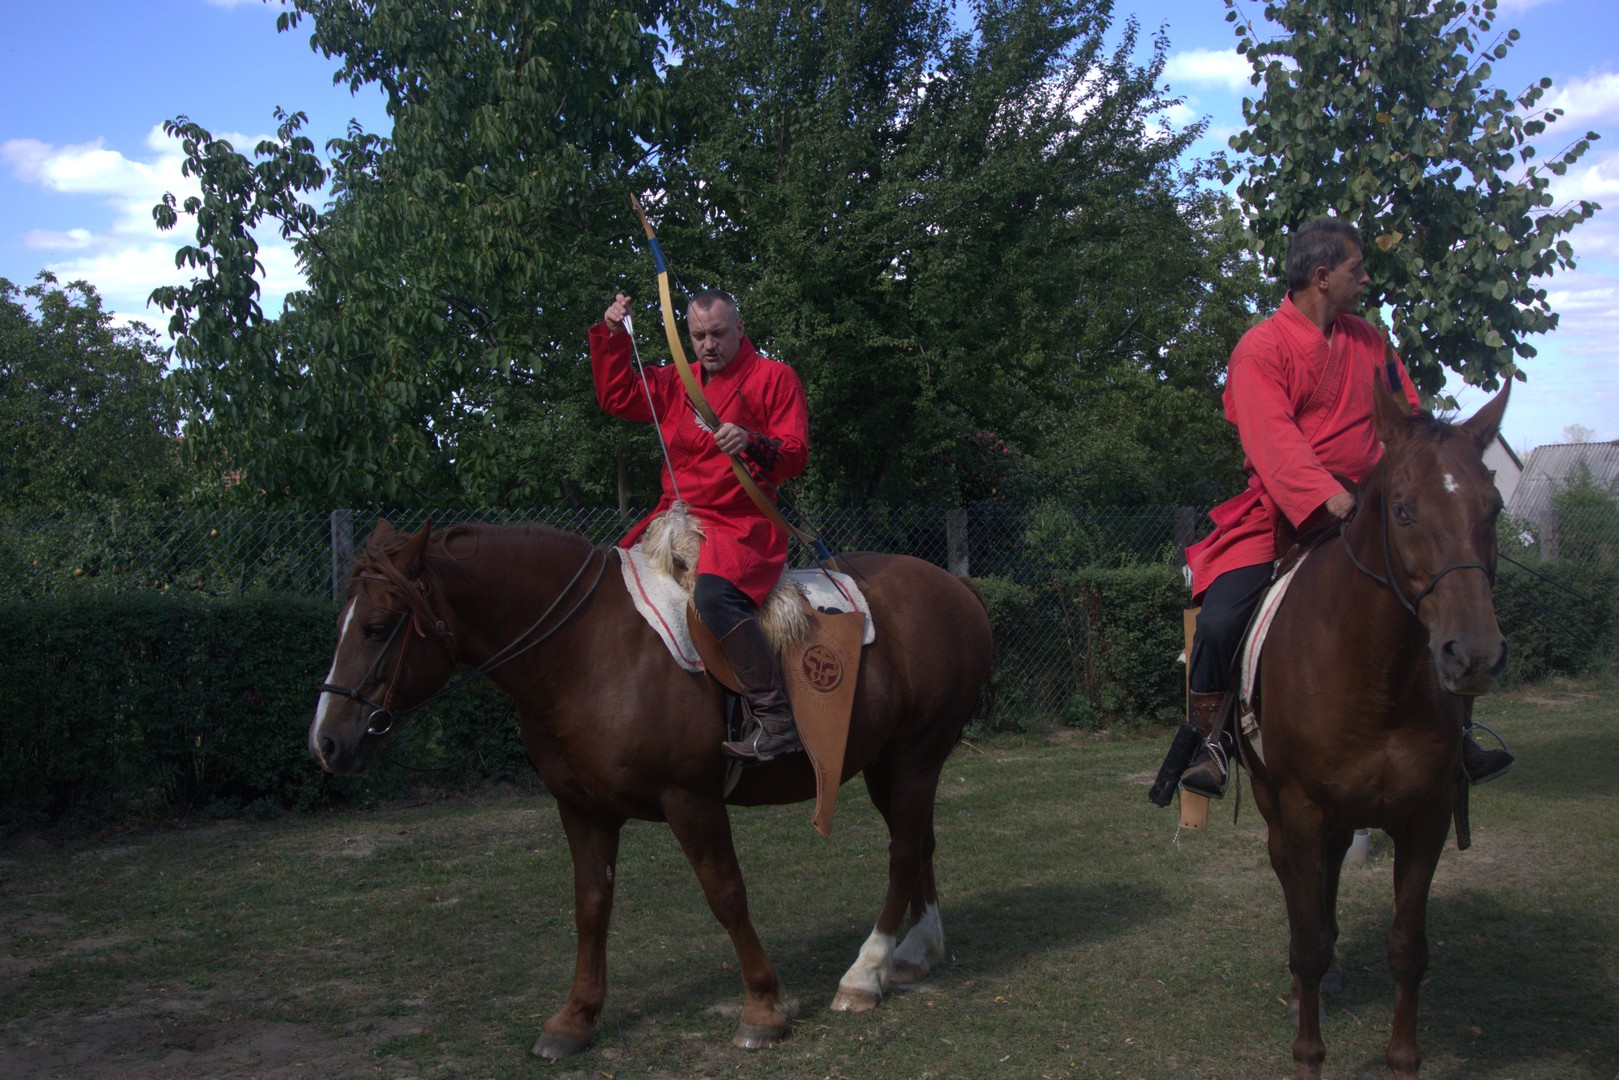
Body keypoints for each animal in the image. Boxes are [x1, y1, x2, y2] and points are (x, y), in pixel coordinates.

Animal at [307, 520, 993, 1058]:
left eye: (376, 627)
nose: (327, 742)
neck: (588, 648)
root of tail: (954, 586)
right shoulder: (581, 809)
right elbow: (591, 907)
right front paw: (575, 1019)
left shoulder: (691, 800)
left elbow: (726, 895)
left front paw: (762, 1008)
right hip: (889, 766)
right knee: (919, 843)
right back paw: (915, 952)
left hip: (915, 758)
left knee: (903, 853)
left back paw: (865, 972)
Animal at [1242, 375, 1511, 1079]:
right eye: (1403, 510)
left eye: (1495, 507)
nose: (1473, 654)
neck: (1376, 676)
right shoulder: (1302, 808)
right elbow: (1307, 941)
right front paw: (1308, 1054)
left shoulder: (1426, 817)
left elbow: (1407, 948)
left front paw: (1404, 1060)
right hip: (1276, 806)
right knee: (1294, 888)